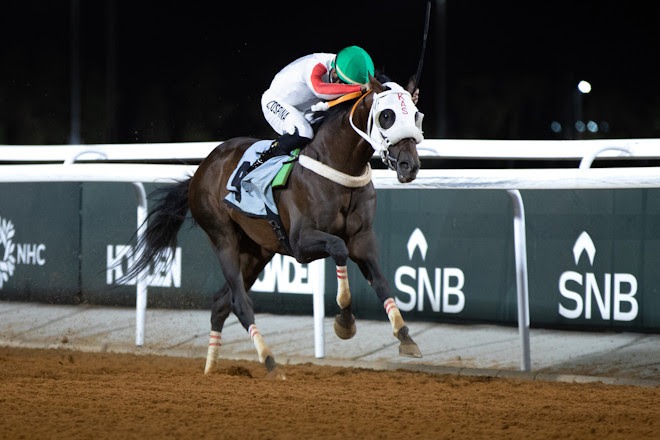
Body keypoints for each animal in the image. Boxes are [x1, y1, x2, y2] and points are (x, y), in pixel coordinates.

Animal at [127, 75, 425, 379]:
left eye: (415, 115)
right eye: (386, 116)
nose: (409, 165)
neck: (339, 168)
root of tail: (201, 170)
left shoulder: (362, 239)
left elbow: (381, 282)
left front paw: (405, 337)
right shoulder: (301, 243)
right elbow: (338, 248)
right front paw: (345, 321)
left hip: (256, 251)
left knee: (222, 302)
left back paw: (211, 368)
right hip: (223, 238)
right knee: (239, 302)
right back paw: (269, 361)